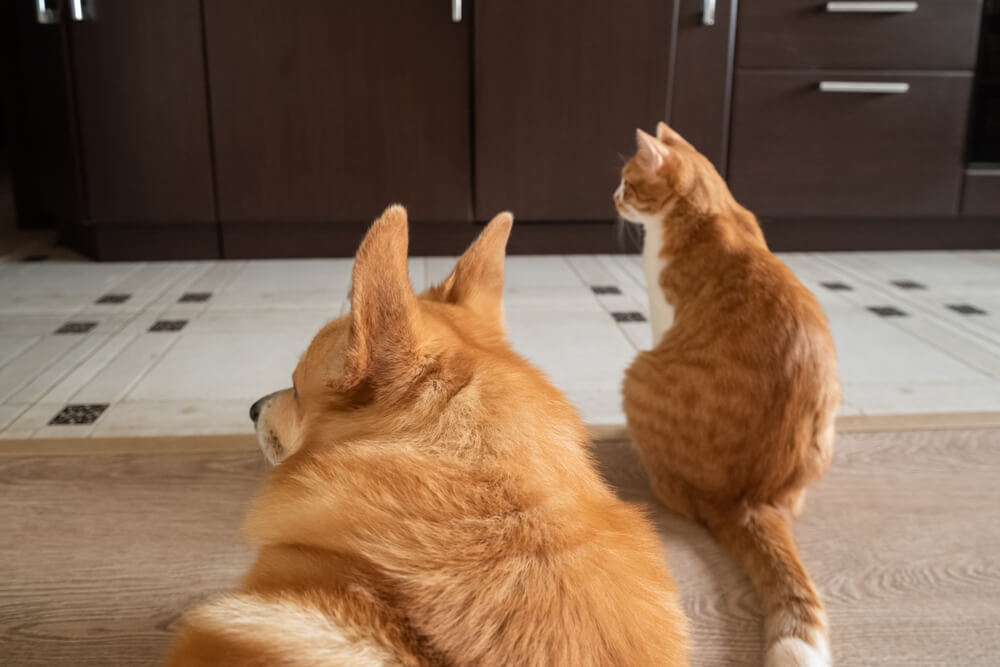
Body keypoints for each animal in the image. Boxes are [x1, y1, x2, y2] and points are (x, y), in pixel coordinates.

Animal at [612, 122, 840, 664]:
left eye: (628, 182)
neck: (711, 212)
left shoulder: (662, 320)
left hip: (639, 374)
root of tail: (748, 499)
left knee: (676, 496)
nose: (613, 198)